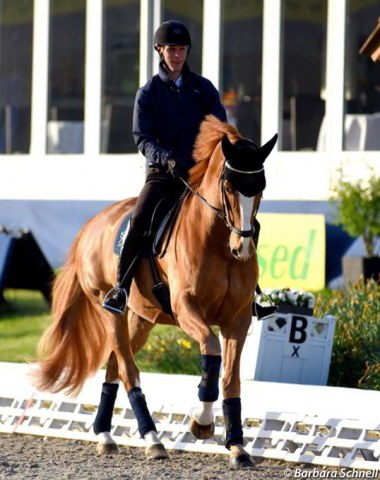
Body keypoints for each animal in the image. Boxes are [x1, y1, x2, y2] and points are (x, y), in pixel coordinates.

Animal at [34, 116, 276, 468]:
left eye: (260, 188)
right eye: (229, 187)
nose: (242, 247)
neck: (217, 241)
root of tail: (92, 225)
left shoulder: (239, 318)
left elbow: (231, 378)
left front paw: (237, 448)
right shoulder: (186, 307)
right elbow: (211, 350)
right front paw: (202, 423)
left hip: (141, 320)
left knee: (114, 364)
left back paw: (105, 435)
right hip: (110, 309)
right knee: (128, 368)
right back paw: (152, 439)